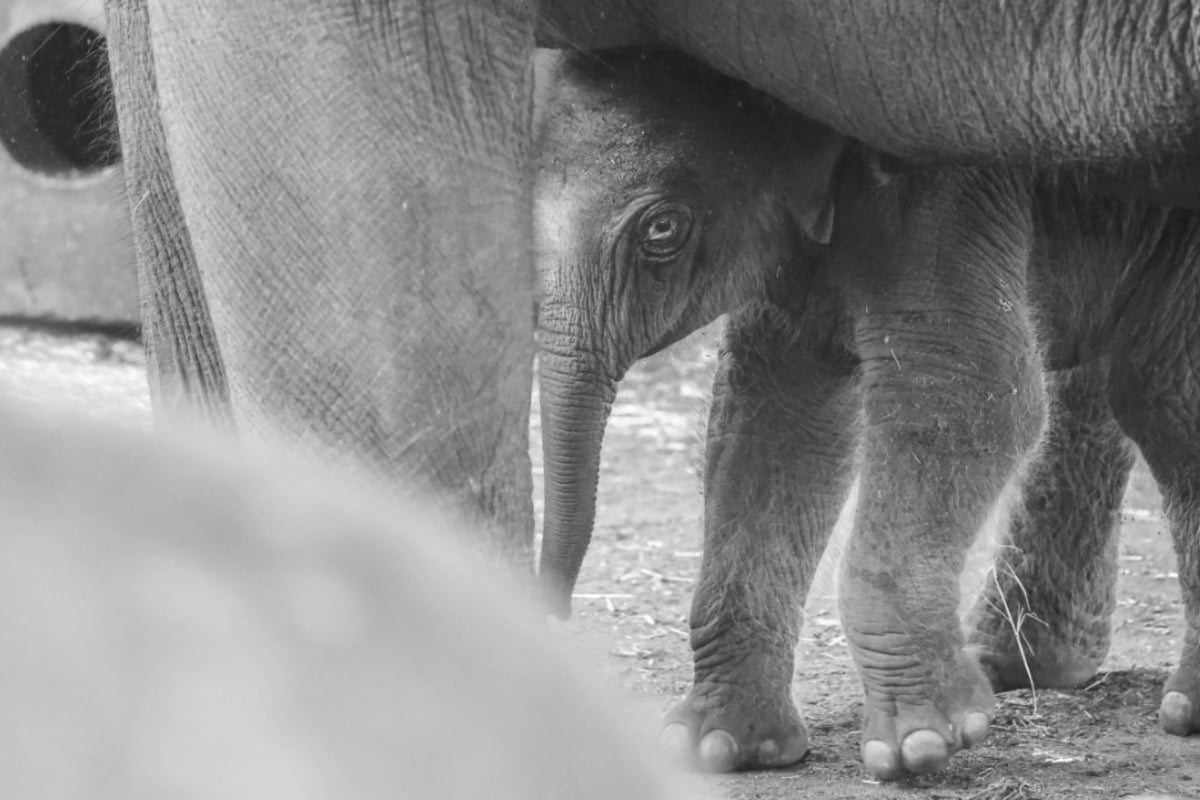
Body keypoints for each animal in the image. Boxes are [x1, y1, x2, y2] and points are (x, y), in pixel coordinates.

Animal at [532, 46, 1200, 780]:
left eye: (663, 229)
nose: (553, 616)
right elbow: (768, 422)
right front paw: (716, 746)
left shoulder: (948, 195)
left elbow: (969, 396)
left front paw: (921, 745)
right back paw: (1022, 668)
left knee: (1162, 396)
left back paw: (1179, 707)